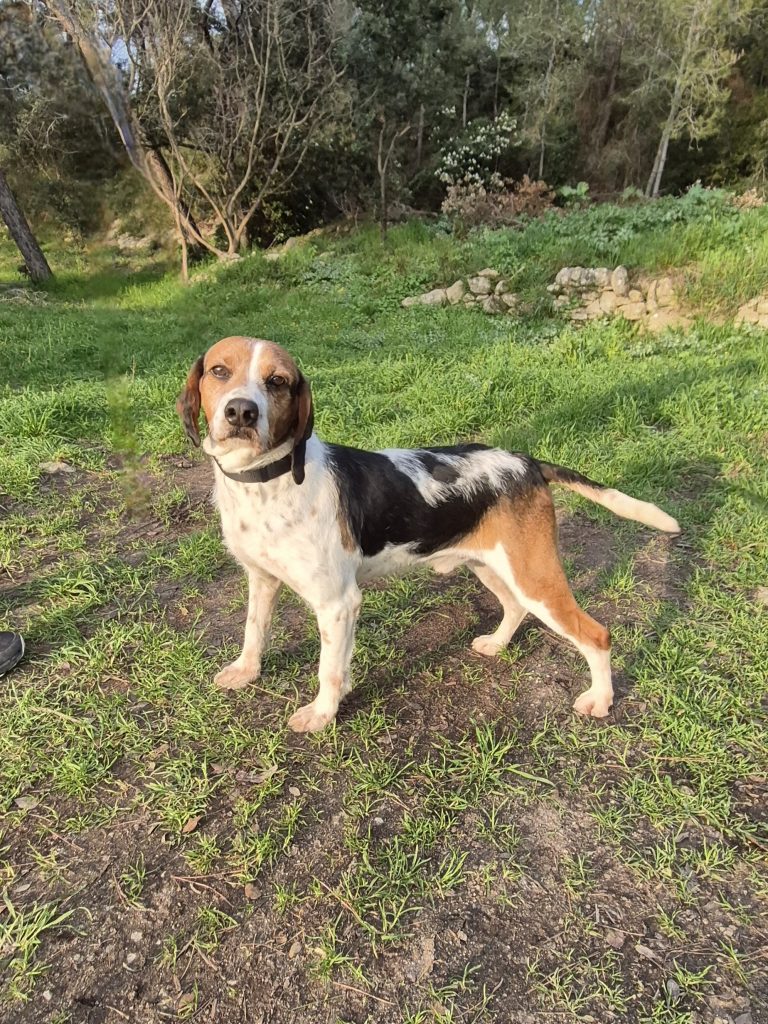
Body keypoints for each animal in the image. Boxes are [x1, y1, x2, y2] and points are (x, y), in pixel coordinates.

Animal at [177, 336, 679, 733]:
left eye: (277, 381)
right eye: (220, 371)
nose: (241, 412)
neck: (267, 480)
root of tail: (528, 462)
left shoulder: (337, 603)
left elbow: (328, 670)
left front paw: (322, 714)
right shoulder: (261, 580)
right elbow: (254, 632)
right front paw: (246, 672)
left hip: (535, 577)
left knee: (597, 635)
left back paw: (600, 700)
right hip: (491, 566)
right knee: (515, 607)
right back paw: (497, 644)